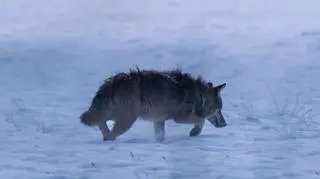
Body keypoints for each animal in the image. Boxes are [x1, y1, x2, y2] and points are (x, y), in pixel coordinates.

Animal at [80, 68, 228, 141]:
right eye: (218, 109)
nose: (225, 124)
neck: (198, 95)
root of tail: (113, 82)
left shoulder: (158, 120)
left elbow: (160, 135)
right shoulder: (179, 117)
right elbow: (201, 120)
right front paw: (194, 132)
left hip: (115, 116)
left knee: (100, 123)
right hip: (127, 120)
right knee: (109, 132)